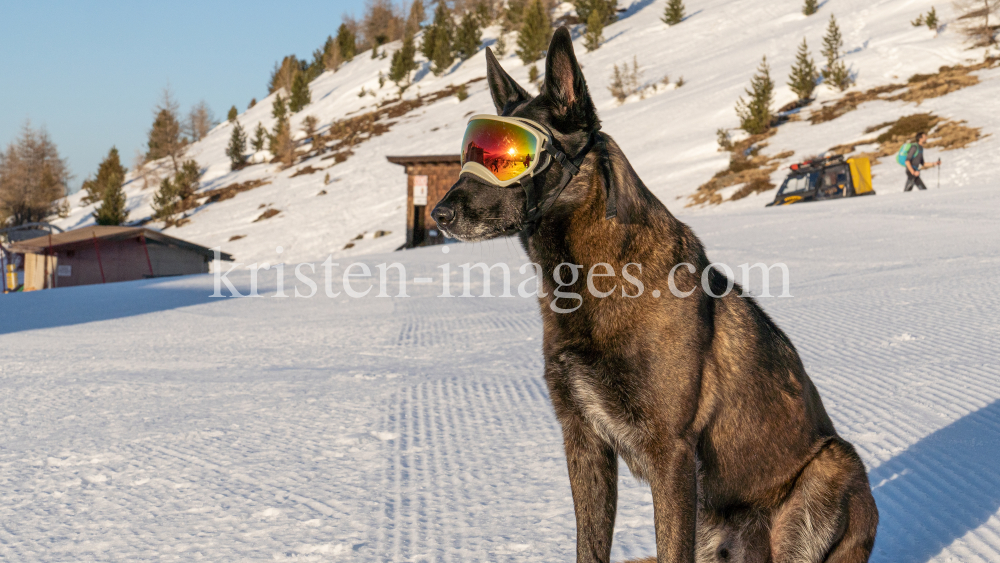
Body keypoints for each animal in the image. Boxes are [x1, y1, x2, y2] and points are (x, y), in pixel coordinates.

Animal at [430, 27, 876, 563]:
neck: (591, 279)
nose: (438, 214)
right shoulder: (584, 441)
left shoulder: (671, 453)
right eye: (471, 151)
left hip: (832, 466)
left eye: (509, 158)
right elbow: (589, 545)